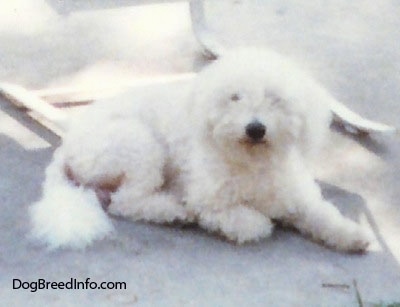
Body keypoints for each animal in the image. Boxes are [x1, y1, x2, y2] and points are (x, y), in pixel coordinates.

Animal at [30, 48, 372, 253]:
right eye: (235, 97)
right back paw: (173, 210)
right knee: (126, 202)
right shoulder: (209, 203)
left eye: (275, 99)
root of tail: (69, 141)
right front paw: (256, 222)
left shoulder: (299, 198)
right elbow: (249, 222)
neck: (252, 163)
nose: (255, 128)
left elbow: (323, 215)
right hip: (138, 144)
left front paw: (351, 234)